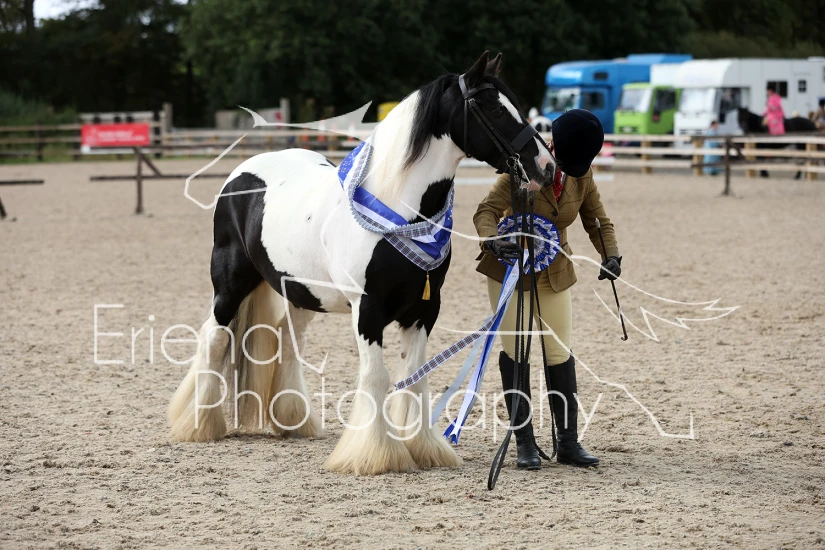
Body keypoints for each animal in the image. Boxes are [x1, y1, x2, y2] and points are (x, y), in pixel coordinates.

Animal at [167, 51, 556, 475]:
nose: (547, 166)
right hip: (231, 285)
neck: (398, 209)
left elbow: (414, 376)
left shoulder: (425, 308)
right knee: (214, 337)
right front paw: (376, 455)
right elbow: (377, 376)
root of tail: (240, 175)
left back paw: (293, 422)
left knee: (287, 341)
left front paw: (423, 448)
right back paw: (198, 424)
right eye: (493, 109)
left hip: (301, 293)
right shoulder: (367, 309)